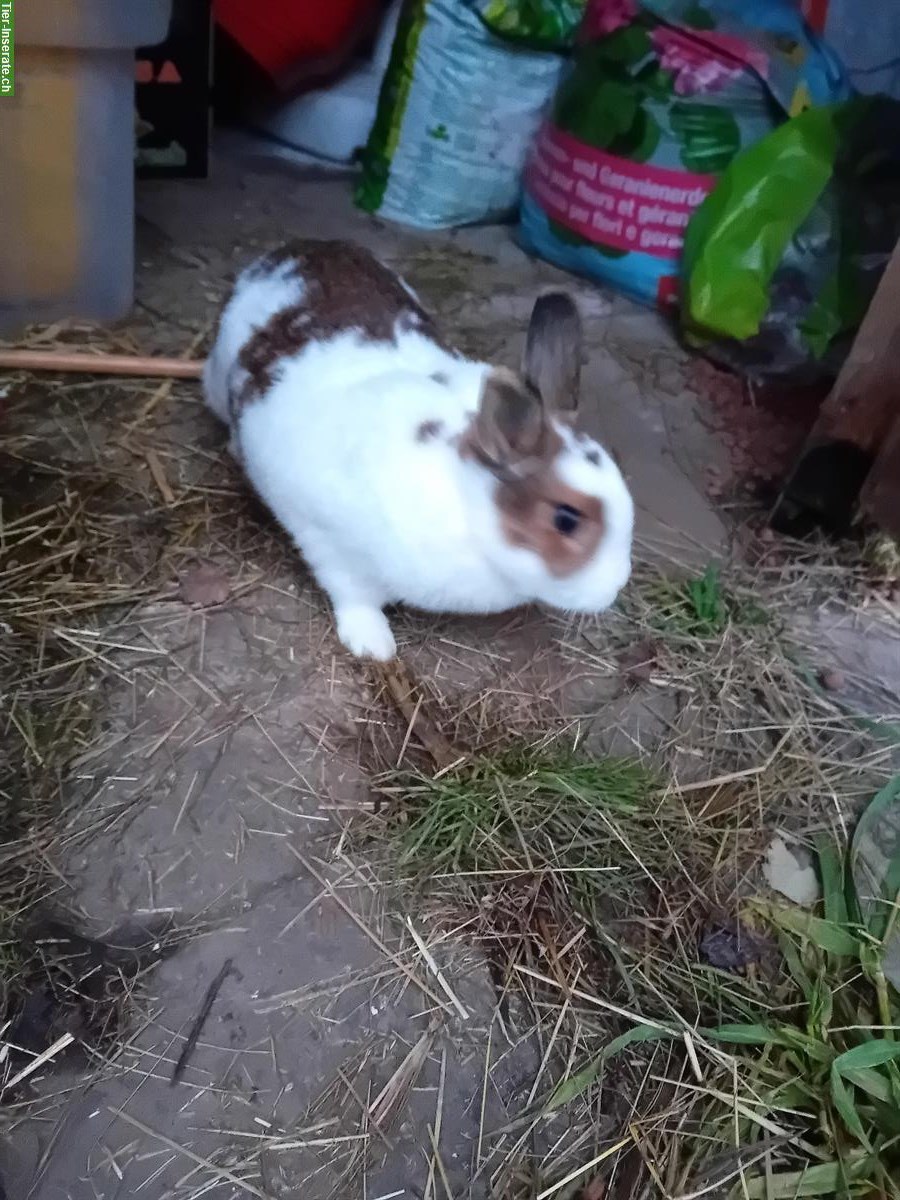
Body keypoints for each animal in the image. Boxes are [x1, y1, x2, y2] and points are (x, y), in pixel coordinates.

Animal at [204, 238, 633, 662]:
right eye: (566, 519)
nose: (615, 587)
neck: (467, 503)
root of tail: (289, 250)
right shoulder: (330, 543)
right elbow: (353, 595)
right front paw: (374, 644)